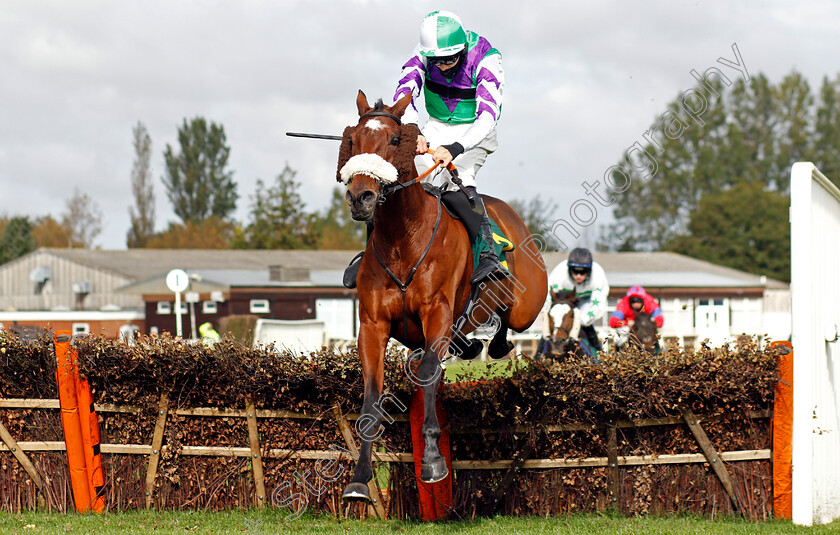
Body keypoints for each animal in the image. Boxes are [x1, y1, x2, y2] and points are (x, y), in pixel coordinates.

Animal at [338, 91, 548, 502]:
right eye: (352, 139)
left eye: (396, 140)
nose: (361, 197)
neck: (403, 239)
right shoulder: (372, 326)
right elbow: (372, 395)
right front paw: (359, 478)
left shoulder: (437, 313)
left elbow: (429, 374)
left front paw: (433, 459)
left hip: (526, 305)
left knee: (508, 319)